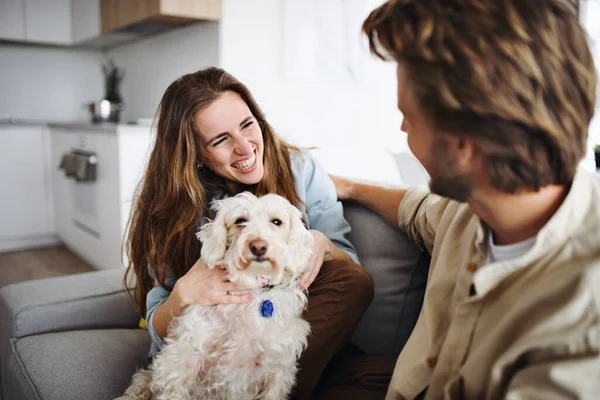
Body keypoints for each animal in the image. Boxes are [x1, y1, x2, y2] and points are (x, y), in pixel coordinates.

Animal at [118, 192, 314, 400]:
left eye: (276, 222)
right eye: (240, 221)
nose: (258, 246)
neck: (252, 286)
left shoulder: (277, 366)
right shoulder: (185, 352)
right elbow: (175, 387)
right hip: (147, 377)